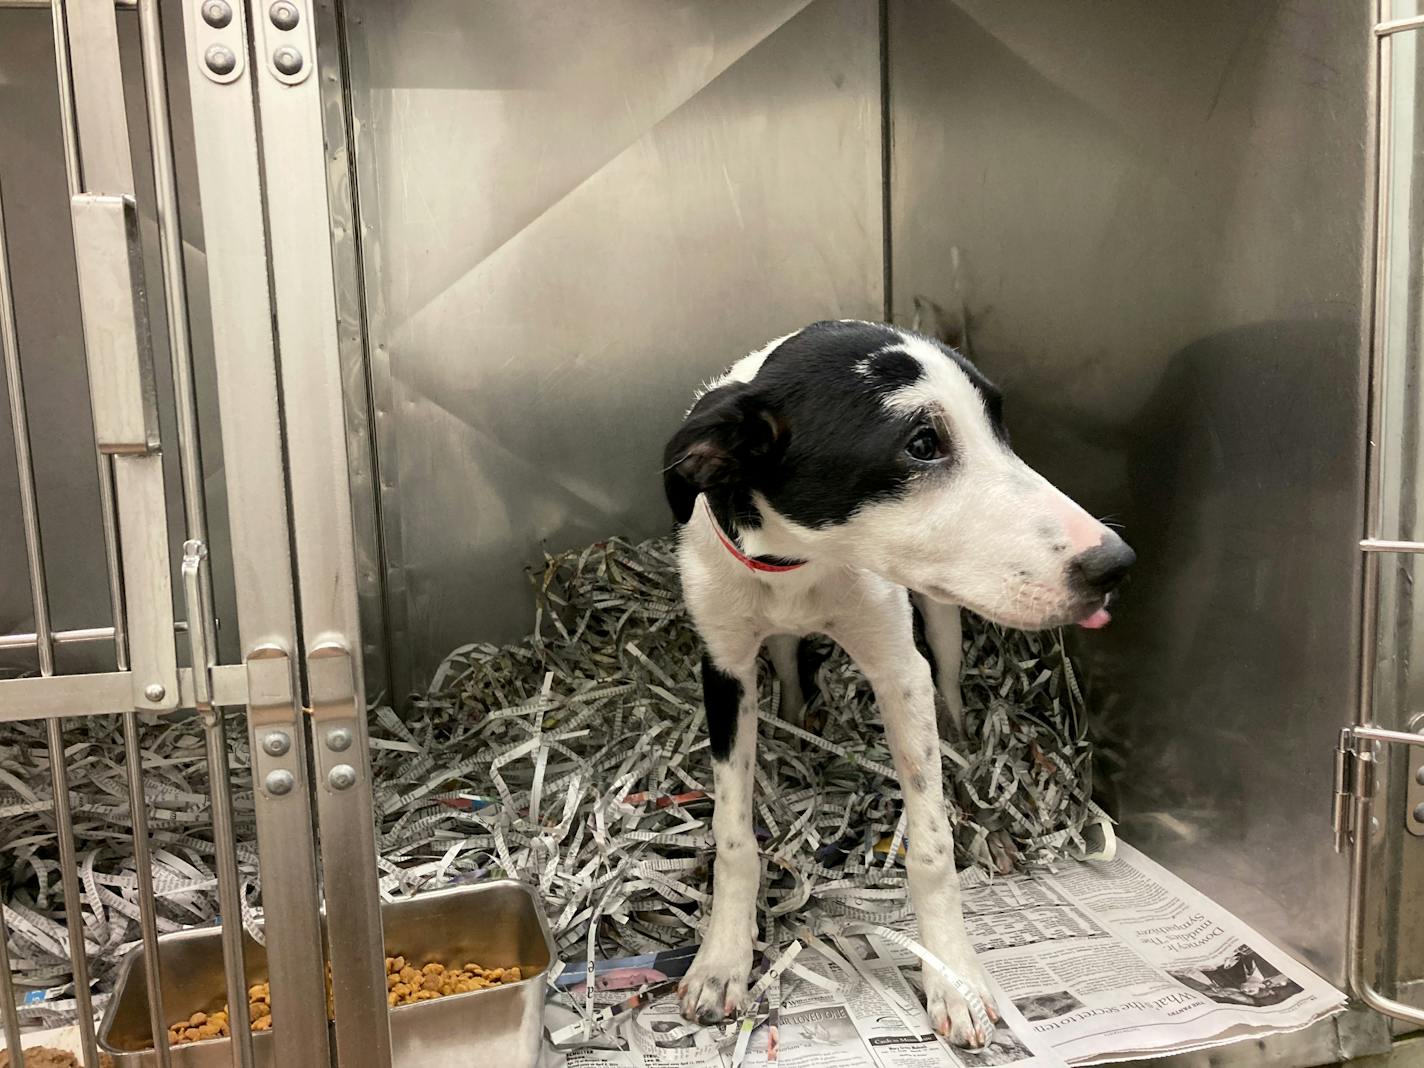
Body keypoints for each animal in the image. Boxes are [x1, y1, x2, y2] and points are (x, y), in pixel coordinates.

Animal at [657, 321, 1133, 1048]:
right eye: (921, 444)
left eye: (998, 423)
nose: (1115, 565)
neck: (801, 562)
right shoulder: (725, 669)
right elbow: (734, 838)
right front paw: (721, 961)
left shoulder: (898, 671)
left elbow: (931, 847)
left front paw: (952, 977)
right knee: (789, 657)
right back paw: (798, 722)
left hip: (939, 614)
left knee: (949, 678)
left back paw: (962, 744)